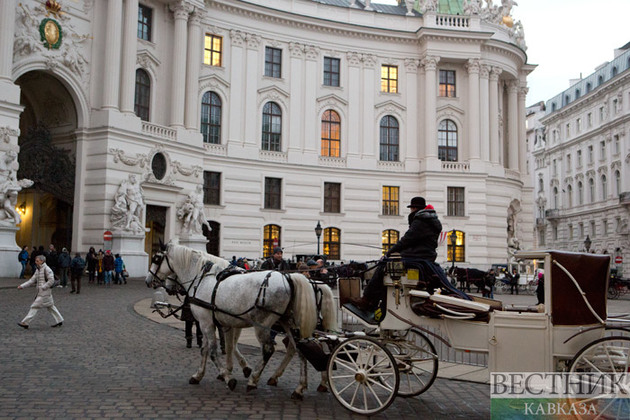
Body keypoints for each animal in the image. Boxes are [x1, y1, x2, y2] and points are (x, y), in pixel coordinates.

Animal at [147, 241, 336, 396]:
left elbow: (214, 351)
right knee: (299, 349)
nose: (149, 281)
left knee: (269, 349)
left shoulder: (206, 323)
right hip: (289, 323)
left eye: (156, 258)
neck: (203, 279)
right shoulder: (220, 323)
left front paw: (228, 376)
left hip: (262, 324)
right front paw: (200, 375)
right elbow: (213, 348)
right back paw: (299, 387)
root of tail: (289, 277)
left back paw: (254, 380)